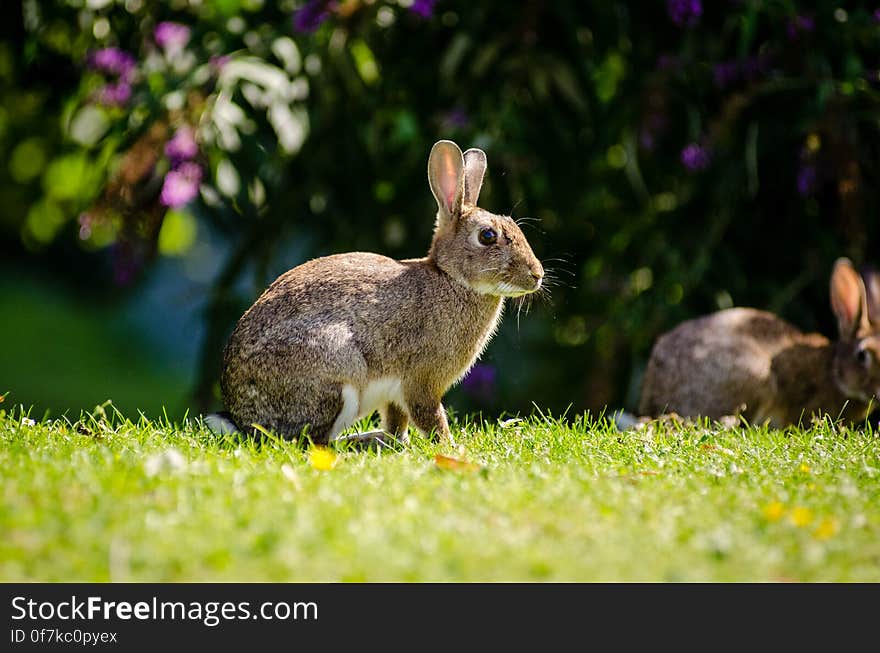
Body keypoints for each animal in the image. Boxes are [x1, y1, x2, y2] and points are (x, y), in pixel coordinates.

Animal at [213, 138, 544, 444]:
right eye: (487, 236)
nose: (537, 275)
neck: (451, 278)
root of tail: (242, 419)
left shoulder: (396, 393)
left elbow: (397, 419)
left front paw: (399, 442)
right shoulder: (421, 382)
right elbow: (429, 416)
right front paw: (449, 447)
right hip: (337, 371)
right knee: (312, 441)